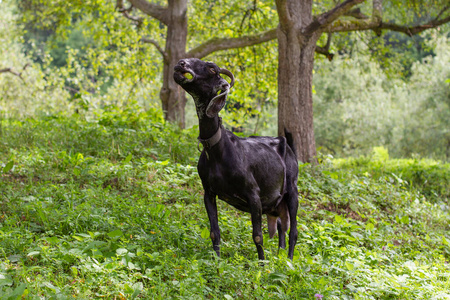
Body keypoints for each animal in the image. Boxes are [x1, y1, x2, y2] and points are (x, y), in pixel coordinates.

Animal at [173, 58, 298, 260]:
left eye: (212, 69)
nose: (181, 63)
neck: (219, 150)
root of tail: (286, 144)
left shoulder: (254, 195)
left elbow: (257, 236)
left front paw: (262, 265)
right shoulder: (208, 192)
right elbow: (214, 232)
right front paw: (216, 261)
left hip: (292, 191)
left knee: (293, 231)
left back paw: (289, 261)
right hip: (276, 204)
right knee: (281, 227)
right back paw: (280, 257)